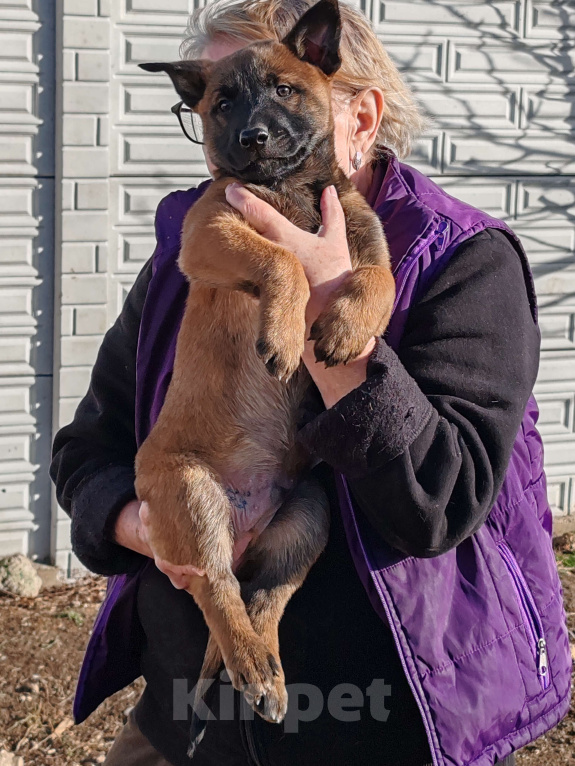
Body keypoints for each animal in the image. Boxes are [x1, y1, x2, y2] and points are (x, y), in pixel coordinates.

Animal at [136, 0, 396, 756]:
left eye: (284, 88)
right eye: (222, 102)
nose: (252, 137)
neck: (290, 189)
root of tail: (242, 527)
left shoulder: (368, 245)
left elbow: (378, 280)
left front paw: (344, 328)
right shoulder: (210, 234)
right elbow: (280, 260)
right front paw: (283, 334)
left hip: (309, 514)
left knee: (264, 598)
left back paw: (267, 672)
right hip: (190, 495)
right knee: (218, 594)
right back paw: (251, 665)